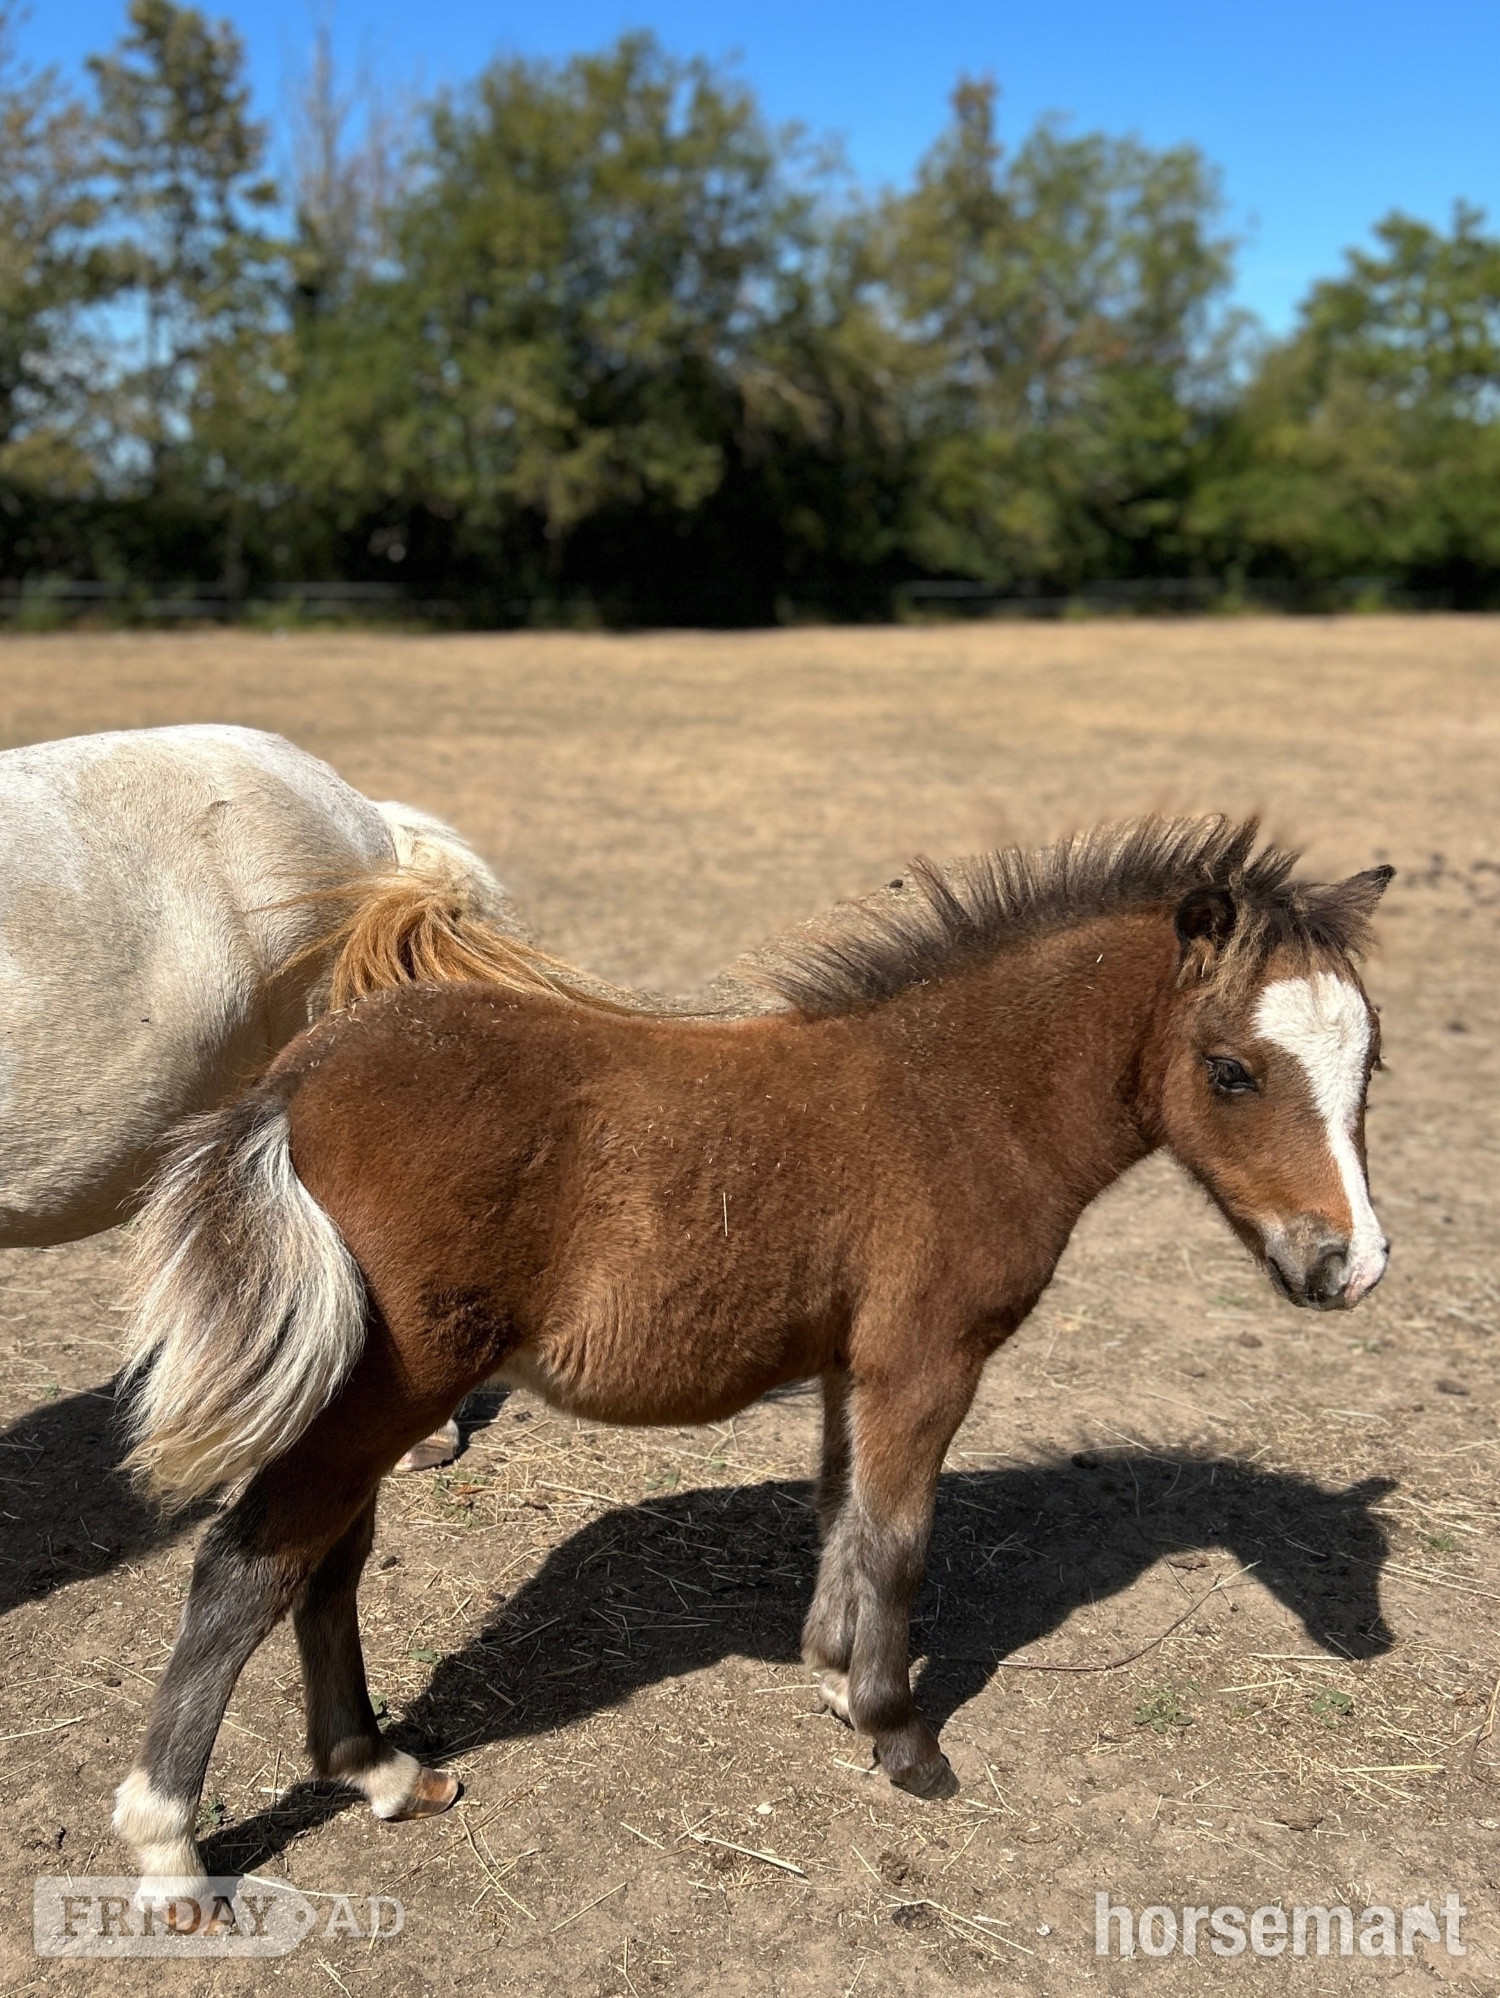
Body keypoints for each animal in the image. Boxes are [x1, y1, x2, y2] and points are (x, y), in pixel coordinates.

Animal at [111, 816, 1393, 1907]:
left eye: (1370, 1065)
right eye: (1230, 1070)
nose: (1352, 1264)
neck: (961, 1101)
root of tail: (293, 1083)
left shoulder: (846, 1363)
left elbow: (840, 1515)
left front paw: (828, 1674)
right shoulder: (925, 1361)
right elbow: (900, 1538)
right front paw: (898, 1733)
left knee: (325, 1566)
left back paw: (381, 1772)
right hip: (388, 1390)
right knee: (248, 1567)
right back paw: (171, 1844)